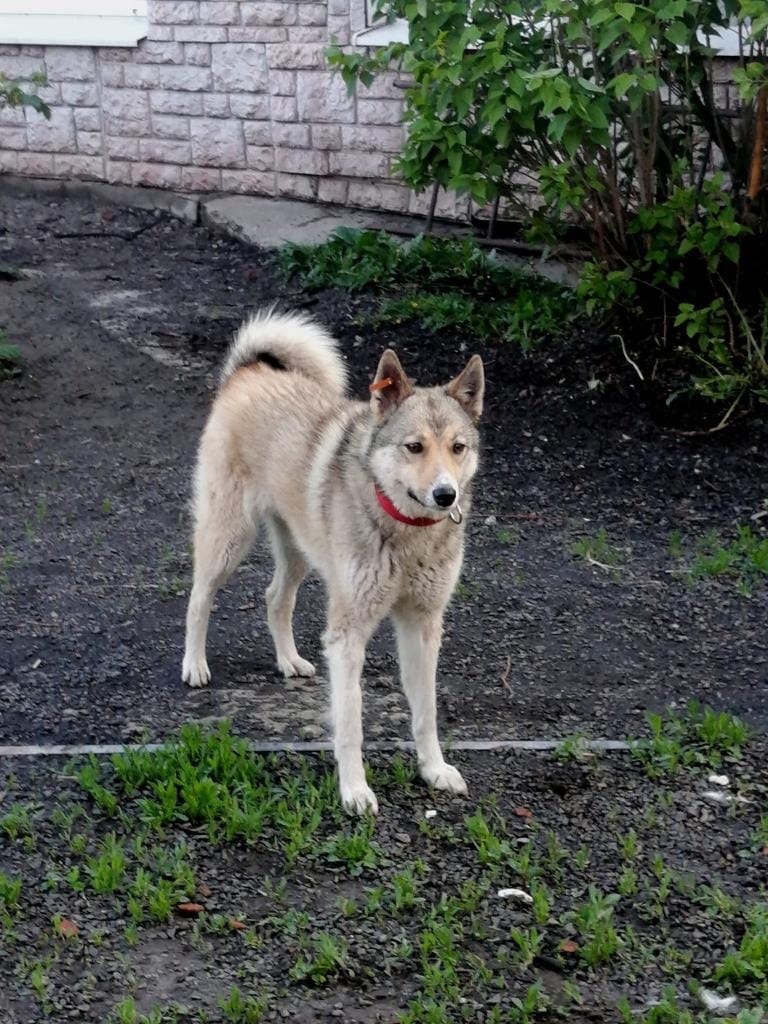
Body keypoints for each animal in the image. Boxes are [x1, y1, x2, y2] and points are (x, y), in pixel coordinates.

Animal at [182, 311, 483, 815]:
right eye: (414, 447)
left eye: (458, 447)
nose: (446, 494)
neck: (405, 528)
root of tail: (249, 371)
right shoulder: (348, 635)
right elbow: (351, 723)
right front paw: (355, 790)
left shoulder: (423, 627)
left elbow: (426, 712)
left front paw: (434, 769)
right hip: (228, 540)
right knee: (198, 597)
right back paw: (194, 664)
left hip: (298, 552)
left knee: (275, 599)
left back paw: (288, 660)